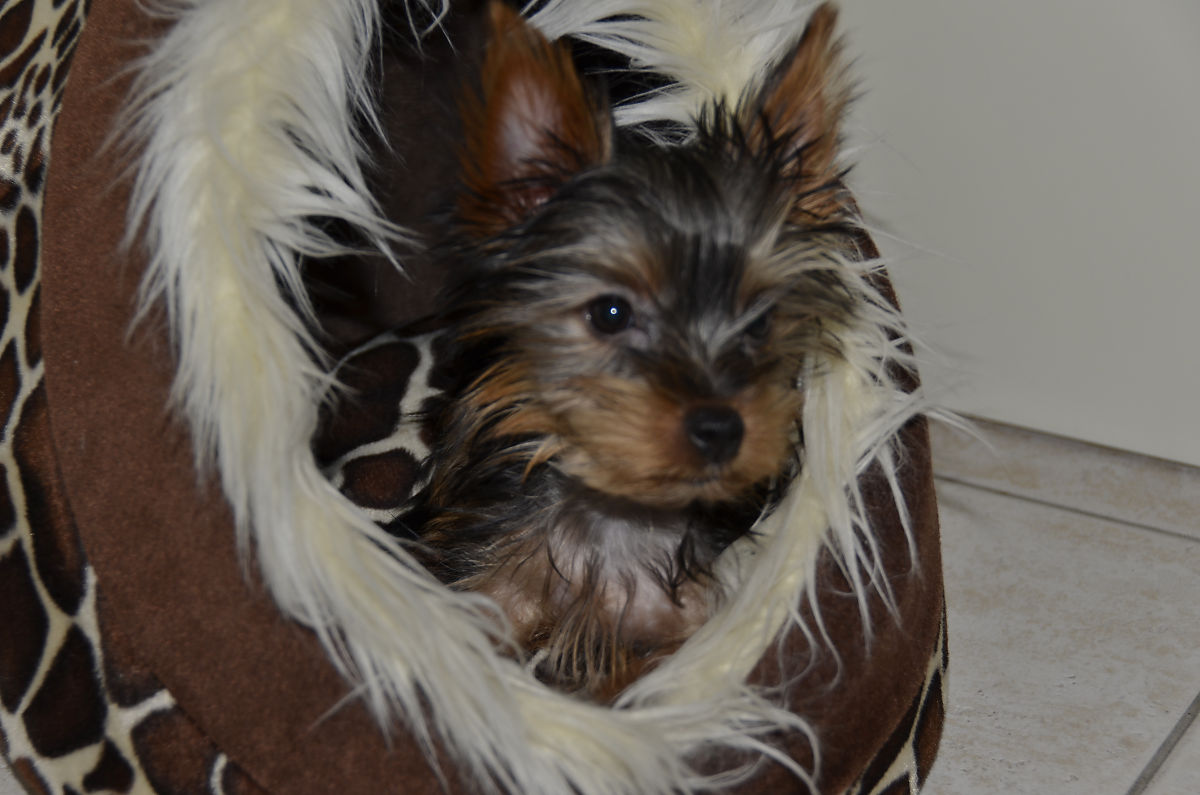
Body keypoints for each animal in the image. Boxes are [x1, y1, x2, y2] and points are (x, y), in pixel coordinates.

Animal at [401, 0, 863, 700]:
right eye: (610, 313)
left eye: (761, 322)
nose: (721, 428)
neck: (619, 516)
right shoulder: (492, 585)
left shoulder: (679, 629)